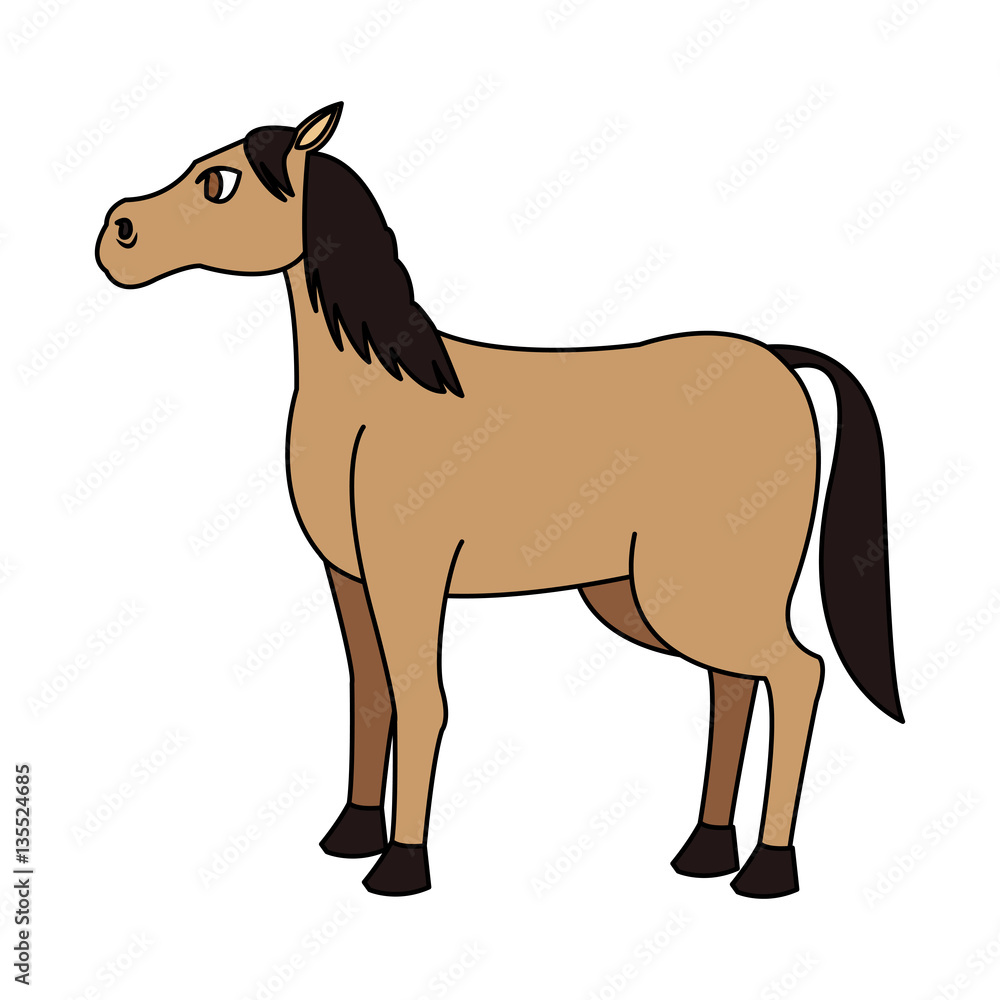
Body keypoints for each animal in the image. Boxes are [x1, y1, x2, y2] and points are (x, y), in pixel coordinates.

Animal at [96, 102, 903, 898]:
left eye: (220, 182)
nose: (117, 233)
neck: (376, 397)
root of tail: (780, 361)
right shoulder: (351, 578)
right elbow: (371, 694)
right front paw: (353, 834)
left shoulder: (410, 574)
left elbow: (422, 701)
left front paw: (402, 863)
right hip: (659, 597)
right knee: (733, 686)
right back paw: (705, 850)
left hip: (704, 593)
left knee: (796, 676)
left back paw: (767, 868)